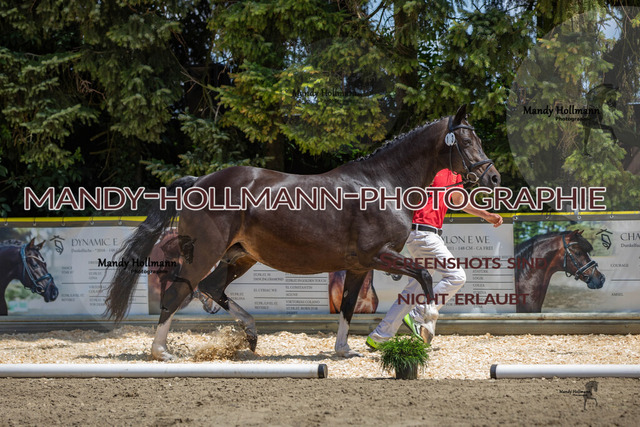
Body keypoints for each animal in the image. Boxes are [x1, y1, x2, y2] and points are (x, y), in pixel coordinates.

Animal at [105, 104, 501, 360]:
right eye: (467, 142)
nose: (494, 177)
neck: (383, 184)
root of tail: (198, 181)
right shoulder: (377, 255)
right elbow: (425, 278)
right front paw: (426, 328)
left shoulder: (359, 265)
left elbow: (348, 306)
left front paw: (344, 349)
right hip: (206, 253)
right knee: (179, 291)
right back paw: (161, 352)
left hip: (241, 256)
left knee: (211, 288)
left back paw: (250, 335)